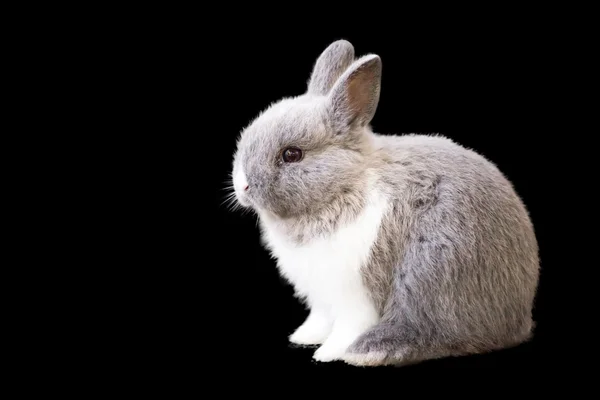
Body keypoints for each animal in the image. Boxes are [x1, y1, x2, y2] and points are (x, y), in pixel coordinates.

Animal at [229, 39, 540, 368]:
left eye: (292, 154)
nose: (243, 185)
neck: (344, 186)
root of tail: (518, 319)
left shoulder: (354, 293)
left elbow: (348, 326)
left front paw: (327, 352)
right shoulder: (321, 297)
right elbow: (320, 319)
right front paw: (304, 337)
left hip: (430, 272)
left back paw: (369, 350)